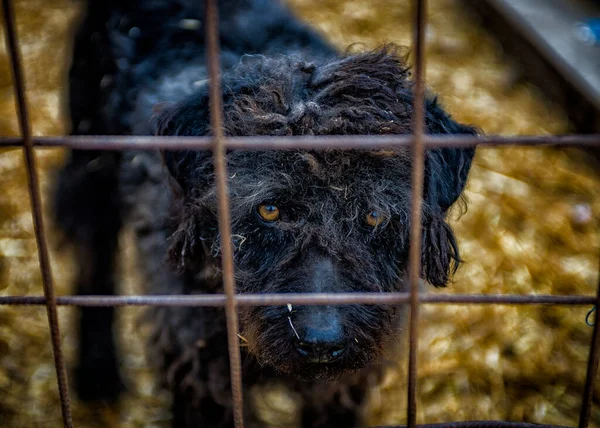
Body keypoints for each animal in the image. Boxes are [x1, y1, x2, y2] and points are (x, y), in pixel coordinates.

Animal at [55, 0, 478, 426]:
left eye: (374, 214)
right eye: (269, 210)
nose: (321, 343)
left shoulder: (341, 388)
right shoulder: (200, 373)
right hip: (93, 173)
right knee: (94, 265)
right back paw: (97, 372)